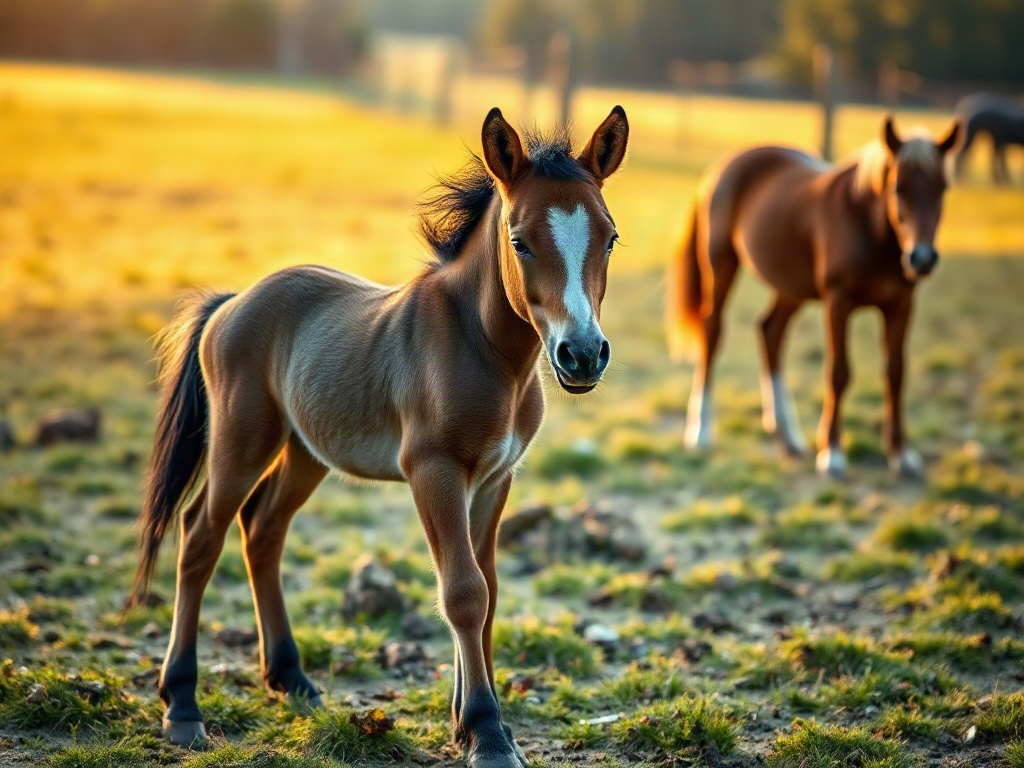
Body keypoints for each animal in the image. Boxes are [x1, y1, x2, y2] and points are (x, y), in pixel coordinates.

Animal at [125, 105, 628, 768]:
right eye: (519, 240)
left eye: (610, 237)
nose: (582, 355)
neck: (487, 351)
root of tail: (233, 302)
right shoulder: (433, 471)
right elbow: (464, 592)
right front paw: (487, 733)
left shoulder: (496, 478)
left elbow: (490, 589)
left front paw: (472, 723)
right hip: (241, 439)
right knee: (200, 535)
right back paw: (182, 705)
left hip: (306, 451)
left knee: (263, 530)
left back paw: (292, 679)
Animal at [666, 116, 960, 478]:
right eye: (897, 187)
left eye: (943, 188)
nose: (921, 259)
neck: (866, 225)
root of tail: (723, 167)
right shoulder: (838, 302)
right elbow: (838, 373)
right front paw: (832, 453)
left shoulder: (901, 306)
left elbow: (895, 373)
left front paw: (901, 455)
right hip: (721, 266)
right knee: (713, 333)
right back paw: (701, 432)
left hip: (790, 288)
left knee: (771, 332)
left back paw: (787, 435)